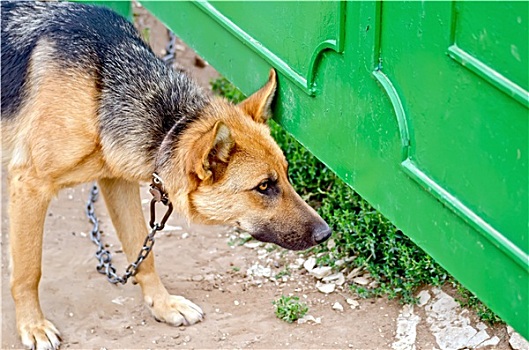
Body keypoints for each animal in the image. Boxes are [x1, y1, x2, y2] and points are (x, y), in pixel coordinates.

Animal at [1, 1, 330, 348]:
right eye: (264, 186)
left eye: (286, 175)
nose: (326, 234)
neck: (102, 87)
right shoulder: (29, 186)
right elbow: (27, 271)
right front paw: (32, 325)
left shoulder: (116, 182)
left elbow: (143, 254)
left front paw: (163, 304)